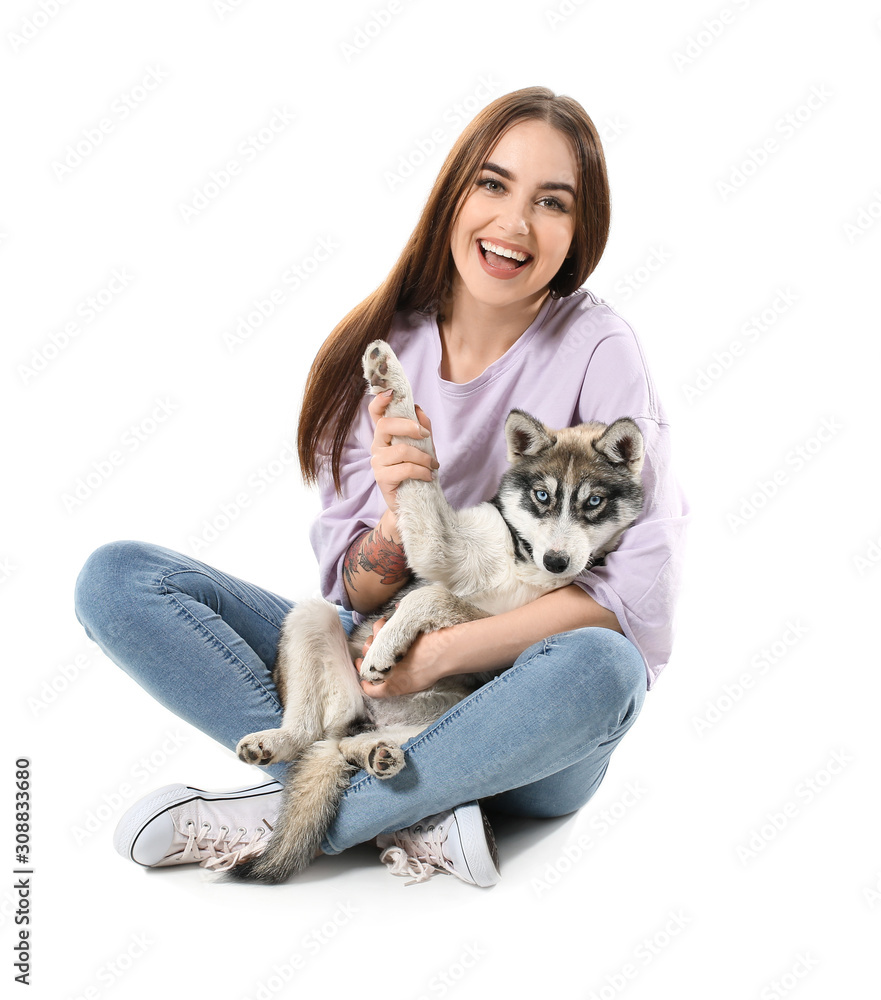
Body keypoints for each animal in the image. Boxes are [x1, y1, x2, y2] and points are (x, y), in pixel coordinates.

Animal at [223, 342, 644, 884]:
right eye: (542, 496)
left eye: (593, 502)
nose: (556, 561)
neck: (521, 557)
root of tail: (361, 720)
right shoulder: (441, 546)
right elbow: (417, 463)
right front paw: (390, 377)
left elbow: (435, 599)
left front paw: (388, 644)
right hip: (312, 619)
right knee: (312, 732)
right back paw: (280, 741)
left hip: (449, 715)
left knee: (349, 747)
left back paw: (374, 753)